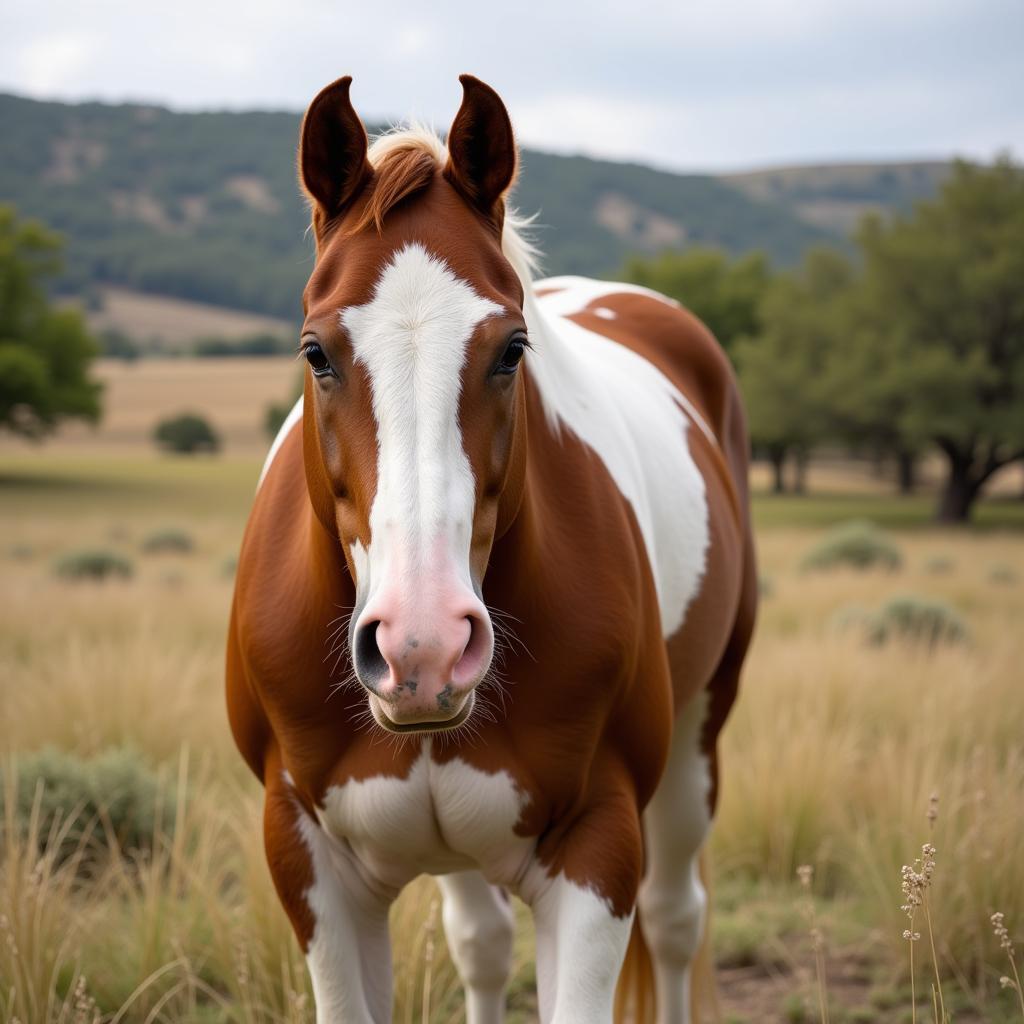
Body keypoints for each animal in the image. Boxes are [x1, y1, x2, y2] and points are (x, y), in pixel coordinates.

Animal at [232, 74, 761, 1024]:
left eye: (513, 348)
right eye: (316, 352)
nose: (423, 646)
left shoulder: (597, 850)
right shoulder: (307, 860)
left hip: (699, 735)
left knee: (675, 921)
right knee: (481, 944)